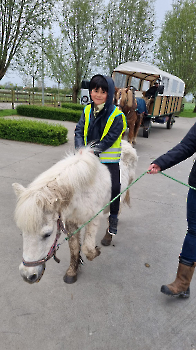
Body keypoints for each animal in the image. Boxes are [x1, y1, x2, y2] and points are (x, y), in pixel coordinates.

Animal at [13, 140, 138, 284]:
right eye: (22, 231)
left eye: (47, 234)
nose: (27, 276)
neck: (81, 191)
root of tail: (126, 143)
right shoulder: (70, 221)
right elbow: (74, 247)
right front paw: (72, 271)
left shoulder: (93, 219)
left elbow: (87, 248)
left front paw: (96, 251)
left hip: (121, 195)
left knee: (115, 212)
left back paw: (108, 235)